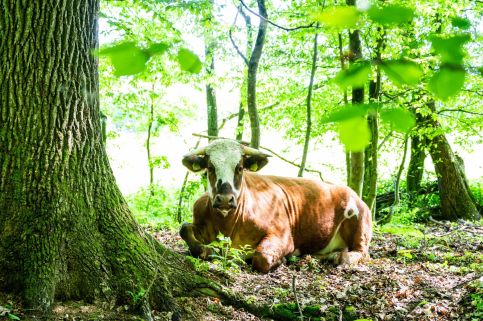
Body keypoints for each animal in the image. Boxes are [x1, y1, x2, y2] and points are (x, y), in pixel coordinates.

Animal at [180, 139, 372, 272]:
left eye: (240, 167)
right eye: (210, 167)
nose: (225, 199)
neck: (227, 227)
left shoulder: (283, 235)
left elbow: (262, 257)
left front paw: (281, 260)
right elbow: (185, 229)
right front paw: (206, 249)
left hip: (359, 220)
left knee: (361, 252)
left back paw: (338, 256)